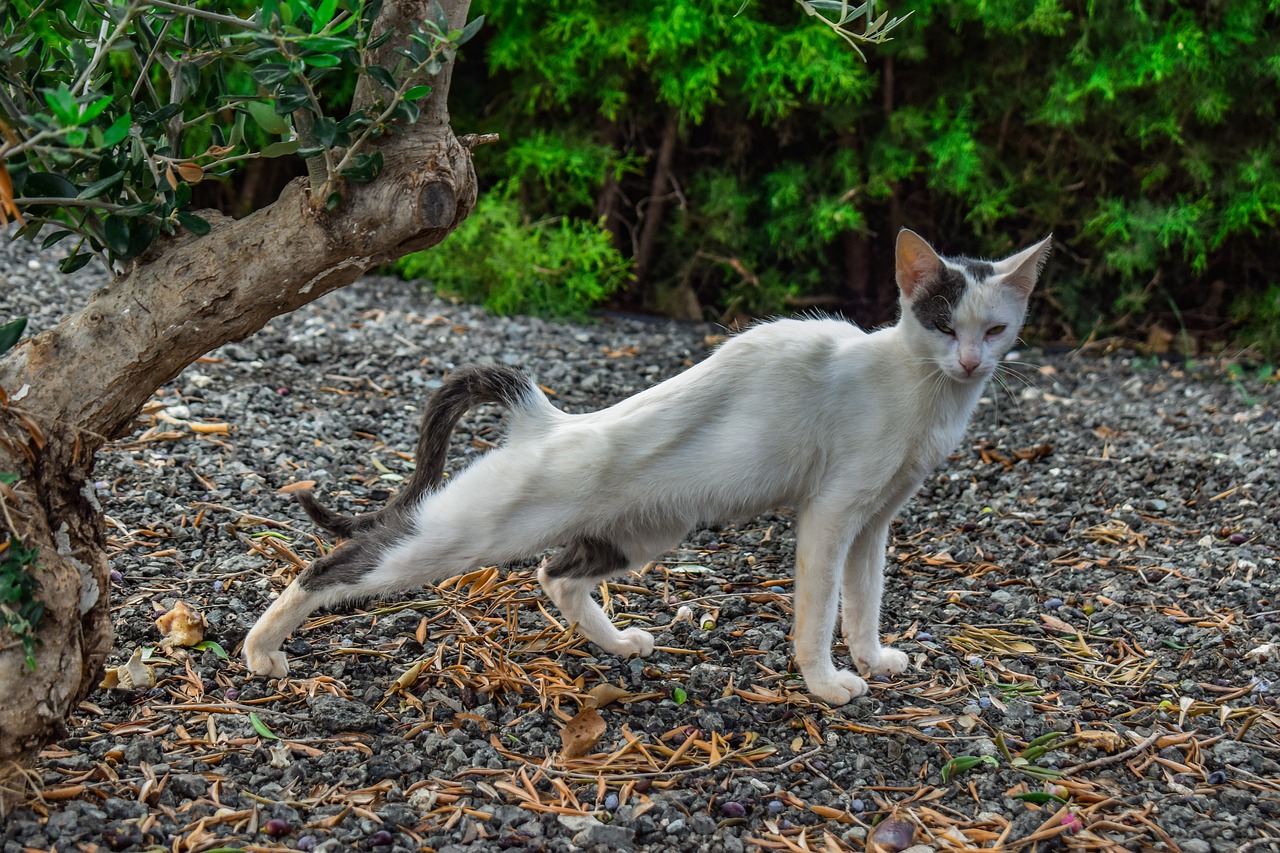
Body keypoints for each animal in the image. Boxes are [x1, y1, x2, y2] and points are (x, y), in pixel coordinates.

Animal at [241, 227, 1049, 701]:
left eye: (995, 328)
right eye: (942, 322)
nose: (970, 361)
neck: (919, 391)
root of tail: (546, 420)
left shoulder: (875, 522)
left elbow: (865, 599)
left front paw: (874, 658)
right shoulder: (830, 514)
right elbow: (820, 609)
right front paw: (826, 682)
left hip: (647, 531)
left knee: (557, 575)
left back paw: (619, 643)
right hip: (464, 534)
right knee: (334, 564)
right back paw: (261, 651)